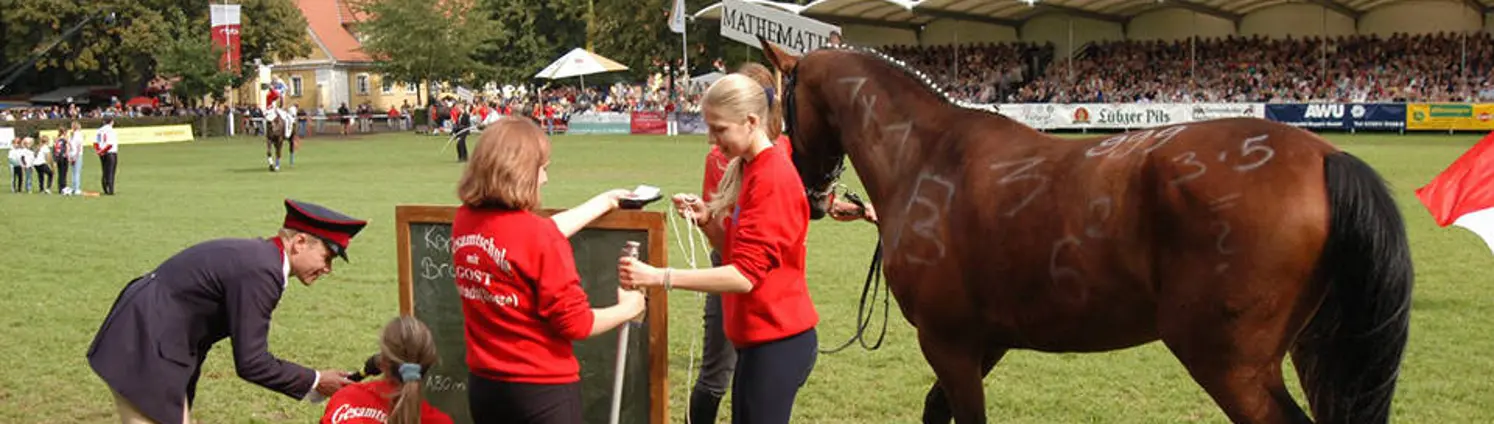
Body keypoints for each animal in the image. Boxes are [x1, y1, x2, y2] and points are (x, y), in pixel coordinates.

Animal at [758, 38, 1410, 421]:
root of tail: (1324, 155)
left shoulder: (948, 342)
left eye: (779, 103)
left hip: (1231, 367)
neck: (927, 154)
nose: (811, 193)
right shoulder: (984, 342)